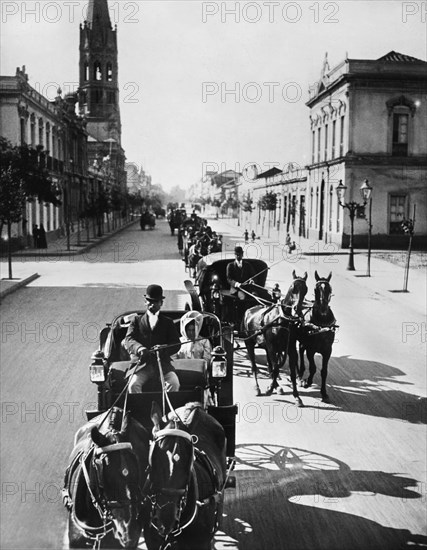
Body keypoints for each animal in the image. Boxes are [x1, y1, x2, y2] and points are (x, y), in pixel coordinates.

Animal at [244, 272, 308, 406]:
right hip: (249, 342)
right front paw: (269, 389)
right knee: (254, 366)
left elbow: (290, 373)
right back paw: (257, 387)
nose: (297, 309)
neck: (282, 319)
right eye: (293, 288)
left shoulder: (290, 348)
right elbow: (276, 368)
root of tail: (249, 310)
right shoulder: (272, 347)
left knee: (270, 366)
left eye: (306, 289)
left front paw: (296, 396)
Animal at [298, 274, 338, 404]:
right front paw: (308, 382)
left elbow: (324, 371)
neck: (321, 325)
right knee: (300, 351)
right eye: (316, 289)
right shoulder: (311, 349)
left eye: (329, 289)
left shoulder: (327, 350)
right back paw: (300, 373)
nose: (323, 308)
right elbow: (313, 367)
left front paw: (324, 392)